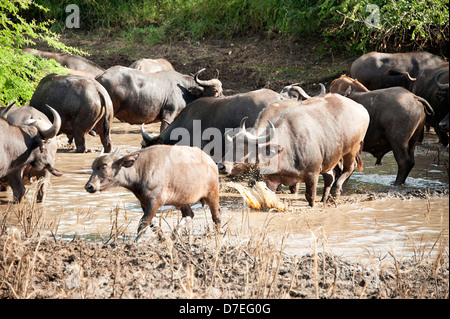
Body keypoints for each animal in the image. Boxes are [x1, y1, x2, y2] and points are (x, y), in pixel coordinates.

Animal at [85, 146, 221, 241]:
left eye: (104, 166)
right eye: (93, 167)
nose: (89, 186)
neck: (140, 171)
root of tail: (211, 162)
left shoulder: (155, 201)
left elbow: (144, 222)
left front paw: (136, 242)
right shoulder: (144, 203)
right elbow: (153, 224)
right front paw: (163, 238)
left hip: (212, 194)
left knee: (216, 216)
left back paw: (219, 234)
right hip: (183, 200)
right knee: (189, 214)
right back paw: (174, 235)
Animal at [218, 93, 370, 208]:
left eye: (243, 148)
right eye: (230, 146)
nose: (221, 166)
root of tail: (362, 109)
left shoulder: (312, 174)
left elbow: (309, 196)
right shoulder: (271, 179)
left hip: (351, 150)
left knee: (348, 169)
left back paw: (335, 192)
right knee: (330, 176)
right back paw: (325, 198)